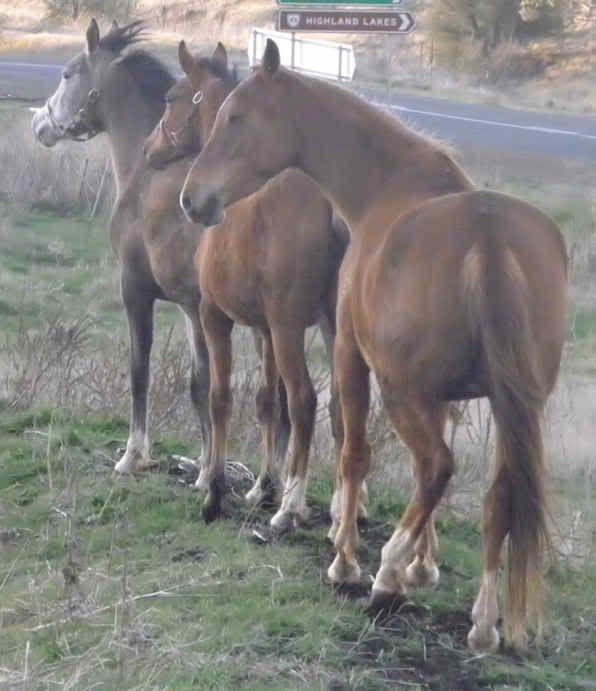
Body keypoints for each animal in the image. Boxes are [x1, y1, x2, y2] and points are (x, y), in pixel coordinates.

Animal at [146, 40, 350, 528]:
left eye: (171, 97)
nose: (149, 150)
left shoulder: (215, 316)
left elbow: (222, 397)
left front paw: (215, 491)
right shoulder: (264, 329)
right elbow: (265, 402)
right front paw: (263, 487)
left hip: (291, 328)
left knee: (305, 400)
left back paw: (293, 507)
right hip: (331, 329)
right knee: (340, 409)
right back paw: (339, 510)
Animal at [180, 39, 568, 656]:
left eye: (235, 117)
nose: (192, 198)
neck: (387, 186)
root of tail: (489, 239)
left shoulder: (348, 355)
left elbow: (350, 446)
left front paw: (347, 559)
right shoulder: (450, 397)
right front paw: (421, 566)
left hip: (401, 389)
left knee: (435, 466)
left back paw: (384, 577)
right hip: (517, 406)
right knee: (500, 494)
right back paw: (483, 621)